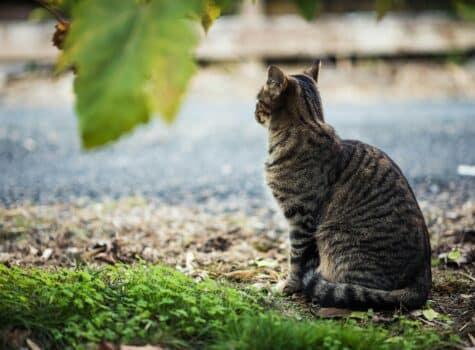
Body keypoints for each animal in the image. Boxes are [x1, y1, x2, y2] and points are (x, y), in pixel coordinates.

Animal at [256, 62, 432, 308]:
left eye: (258, 99)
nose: (253, 111)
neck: (307, 125)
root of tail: (423, 281)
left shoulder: (301, 217)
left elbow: (297, 259)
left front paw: (288, 287)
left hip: (335, 238)